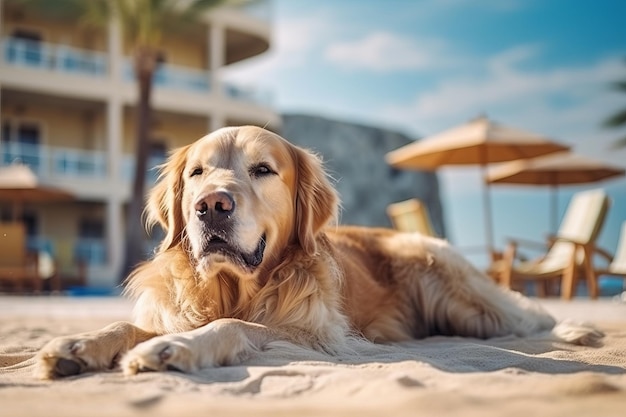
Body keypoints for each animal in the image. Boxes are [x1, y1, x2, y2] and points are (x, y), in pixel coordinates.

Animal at [35, 125, 600, 378]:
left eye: (263, 170)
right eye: (196, 172)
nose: (209, 205)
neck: (231, 288)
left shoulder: (318, 335)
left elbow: (239, 326)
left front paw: (172, 348)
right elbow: (128, 325)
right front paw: (81, 343)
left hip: (453, 283)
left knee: (526, 316)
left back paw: (577, 330)